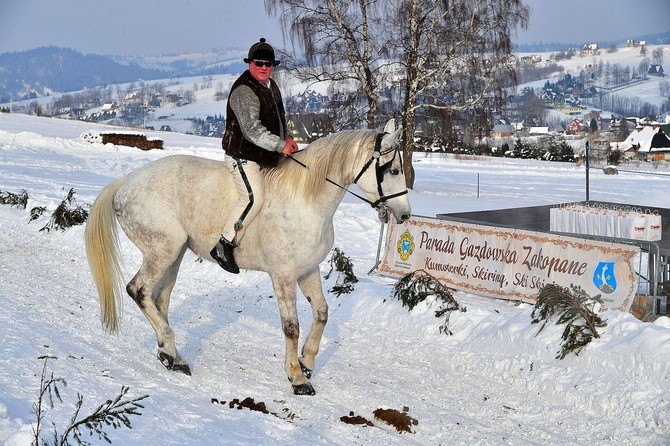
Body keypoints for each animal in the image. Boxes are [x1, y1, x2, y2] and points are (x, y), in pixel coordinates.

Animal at [86, 118, 412, 394]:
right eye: (394, 171)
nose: (405, 215)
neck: (306, 201)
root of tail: (126, 182)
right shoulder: (283, 275)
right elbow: (291, 326)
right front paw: (297, 378)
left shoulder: (308, 270)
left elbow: (321, 313)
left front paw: (306, 364)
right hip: (162, 250)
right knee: (139, 291)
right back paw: (168, 345)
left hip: (174, 254)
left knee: (159, 298)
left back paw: (171, 356)